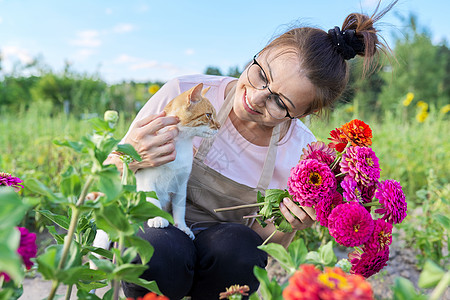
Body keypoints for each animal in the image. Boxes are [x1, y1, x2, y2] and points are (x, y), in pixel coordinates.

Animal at [134, 82, 220, 239]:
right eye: (208, 115)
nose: (219, 126)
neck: (181, 142)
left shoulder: (181, 184)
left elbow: (180, 208)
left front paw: (182, 227)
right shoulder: (147, 180)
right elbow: (153, 200)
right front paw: (157, 218)